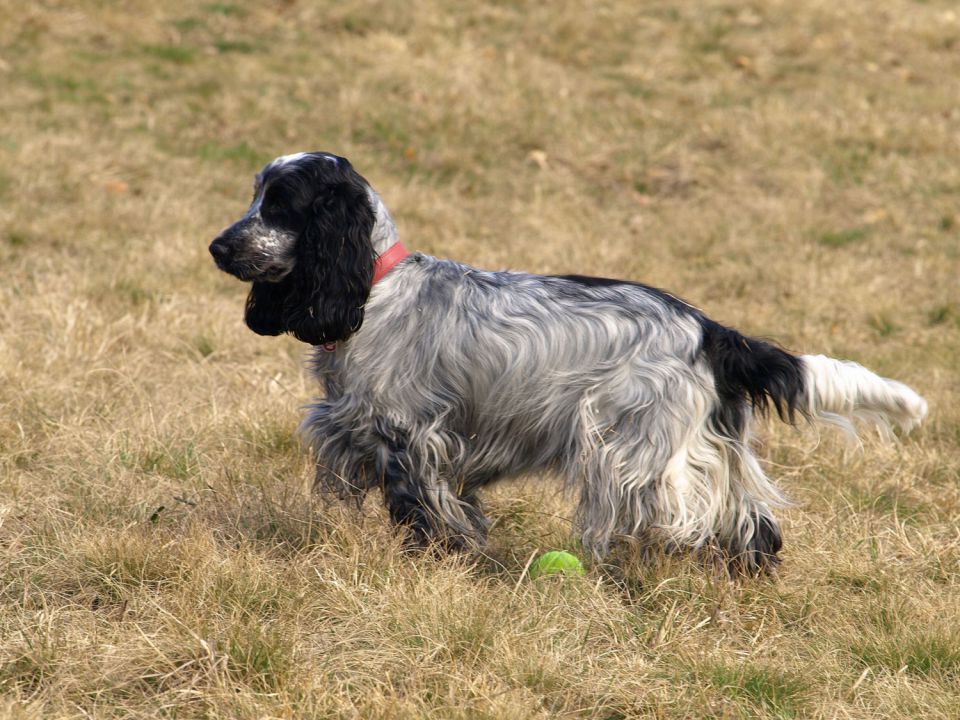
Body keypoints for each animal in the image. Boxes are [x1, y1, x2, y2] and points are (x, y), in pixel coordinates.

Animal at [210, 152, 928, 572]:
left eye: (280, 206)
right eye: (254, 198)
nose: (218, 246)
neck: (374, 289)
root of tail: (709, 331)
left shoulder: (411, 438)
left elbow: (427, 512)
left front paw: (441, 562)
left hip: (631, 447)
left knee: (686, 517)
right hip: (700, 443)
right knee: (752, 523)